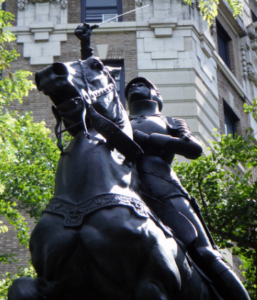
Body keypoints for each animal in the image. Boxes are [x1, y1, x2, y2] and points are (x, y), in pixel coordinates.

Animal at [7, 55, 216, 300]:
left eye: (97, 64)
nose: (50, 72)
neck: (84, 198)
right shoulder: (57, 282)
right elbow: (19, 286)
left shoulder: (151, 284)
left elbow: (191, 146)